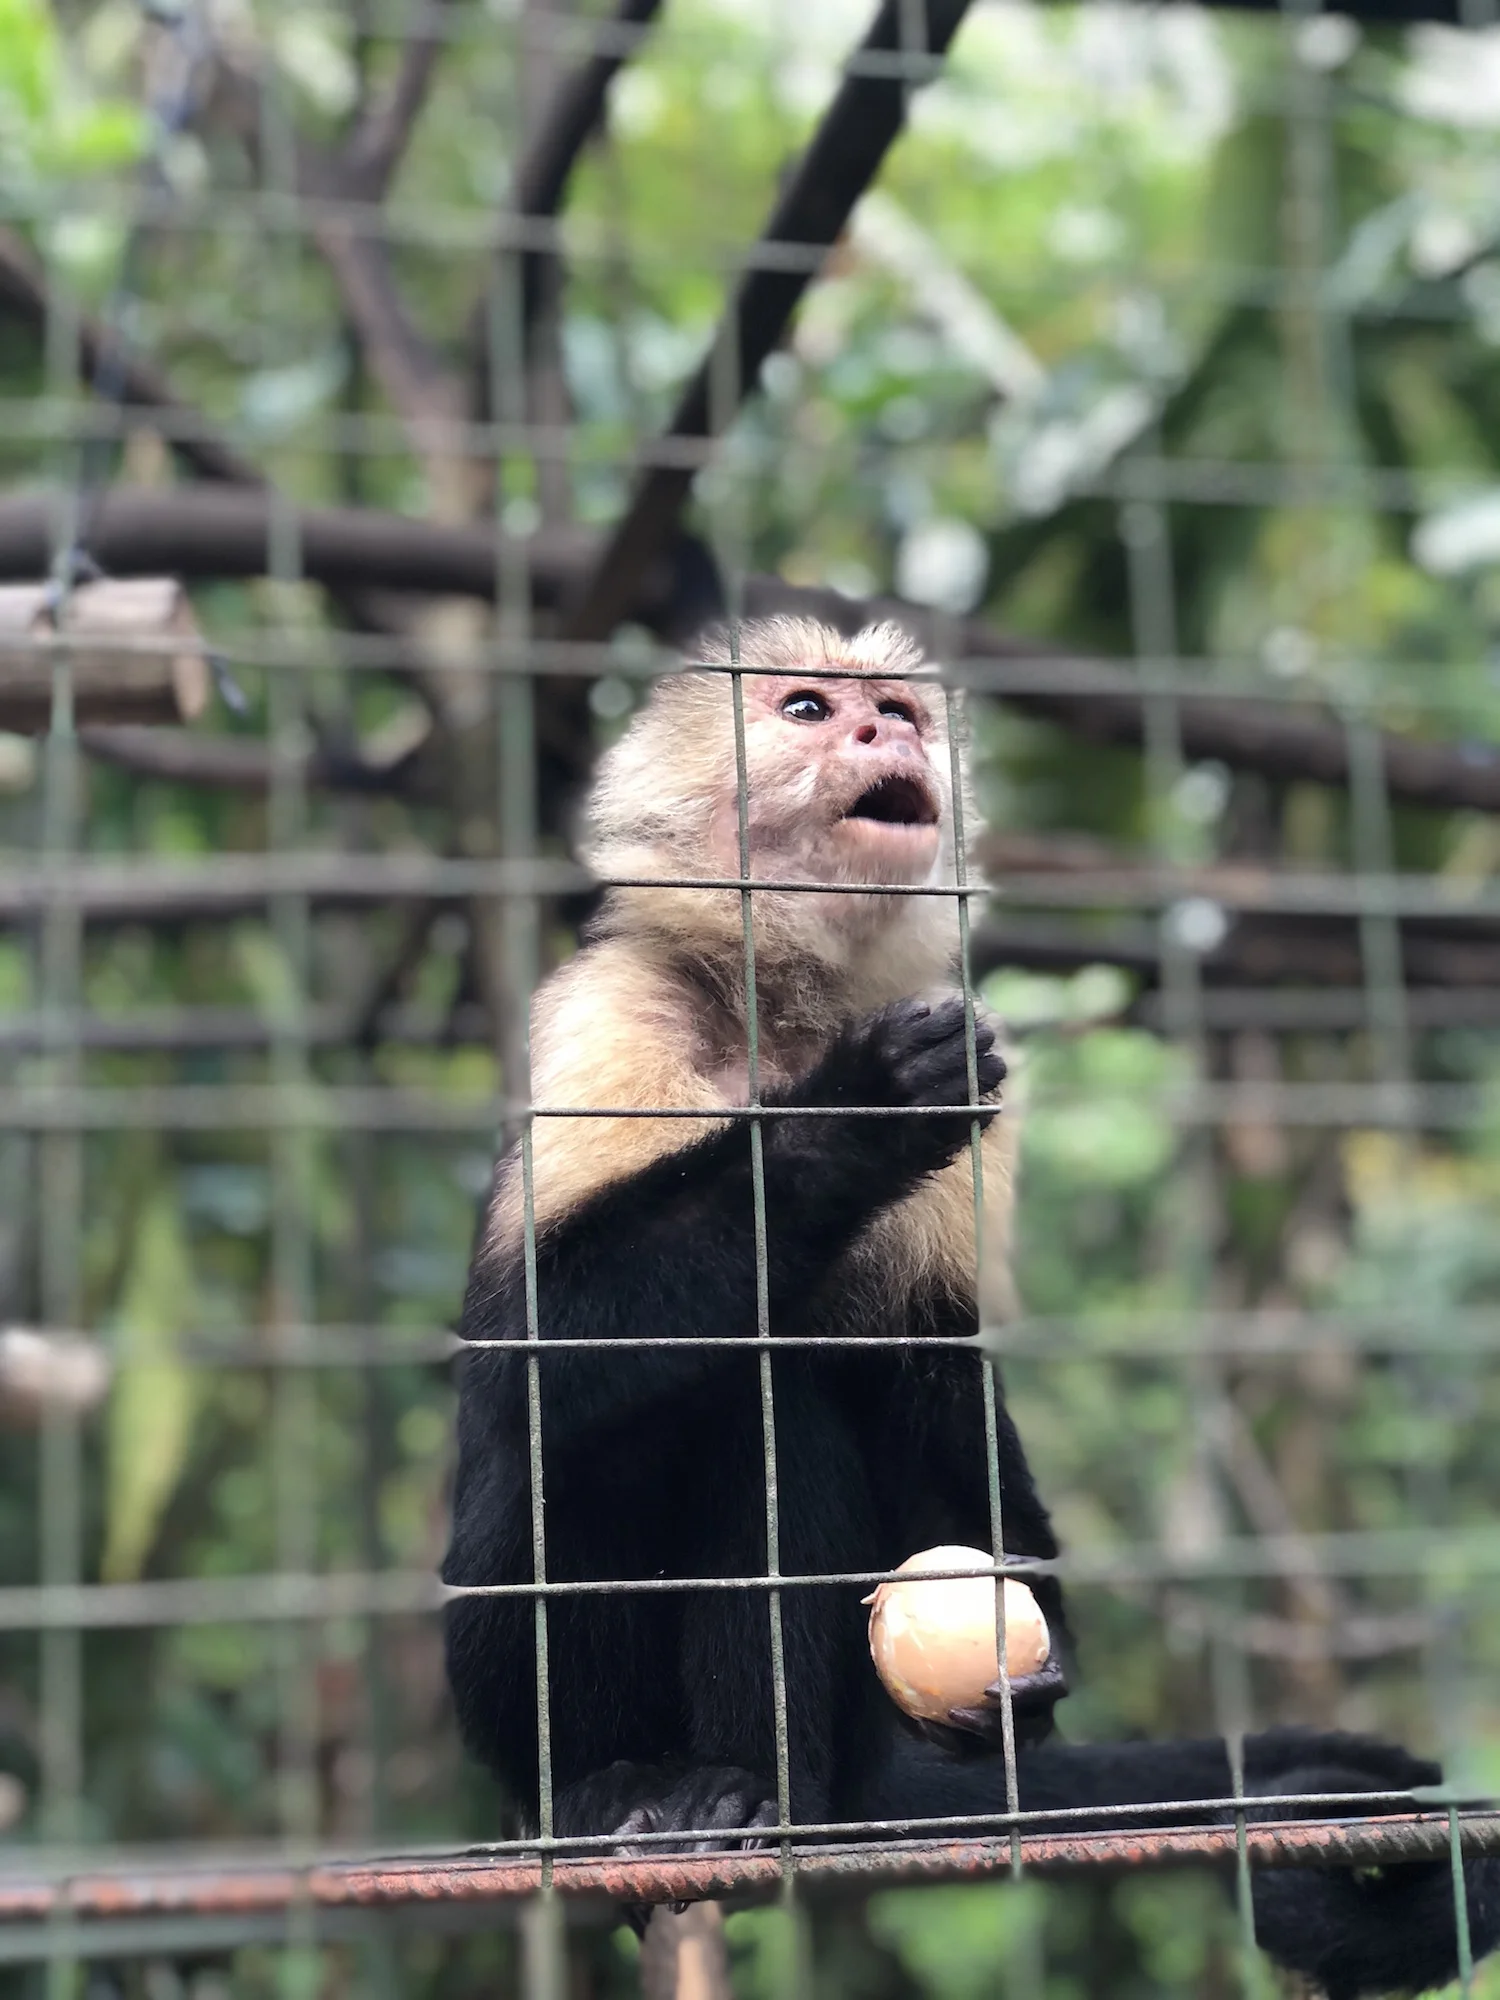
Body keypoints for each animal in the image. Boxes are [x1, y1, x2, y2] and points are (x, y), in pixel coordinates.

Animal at [443, 615, 1499, 2000]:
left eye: (895, 710)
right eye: (806, 709)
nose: (880, 728)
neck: (788, 1010)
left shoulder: (987, 1085)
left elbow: (936, 1370)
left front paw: (1028, 1682)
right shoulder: (609, 1016)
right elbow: (530, 1344)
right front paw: (850, 1120)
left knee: (769, 1409)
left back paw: (757, 1783)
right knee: (644, 1413)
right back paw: (627, 1785)